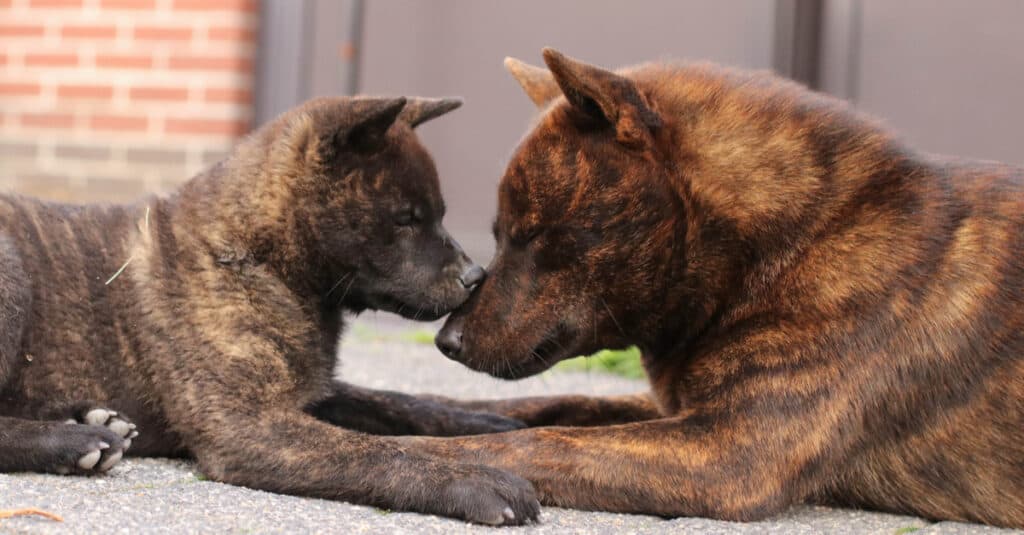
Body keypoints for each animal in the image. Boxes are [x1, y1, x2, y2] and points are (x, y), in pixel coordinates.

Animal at [0, 96, 540, 524]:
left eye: (439, 214)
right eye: (406, 218)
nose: (475, 277)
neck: (253, 253)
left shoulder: (309, 393)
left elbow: (398, 402)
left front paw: (494, 425)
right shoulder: (248, 421)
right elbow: (382, 451)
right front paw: (478, 479)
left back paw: (93, 420)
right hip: (12, 276)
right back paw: (76, 442)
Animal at [413, 48, 1024, 524]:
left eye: (533, 235)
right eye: (499, 235)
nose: (446, 341)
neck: (802, 235)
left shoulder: (725, 453)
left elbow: (527, 440)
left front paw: (423, 458)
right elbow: (550, 405)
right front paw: (426, 408)